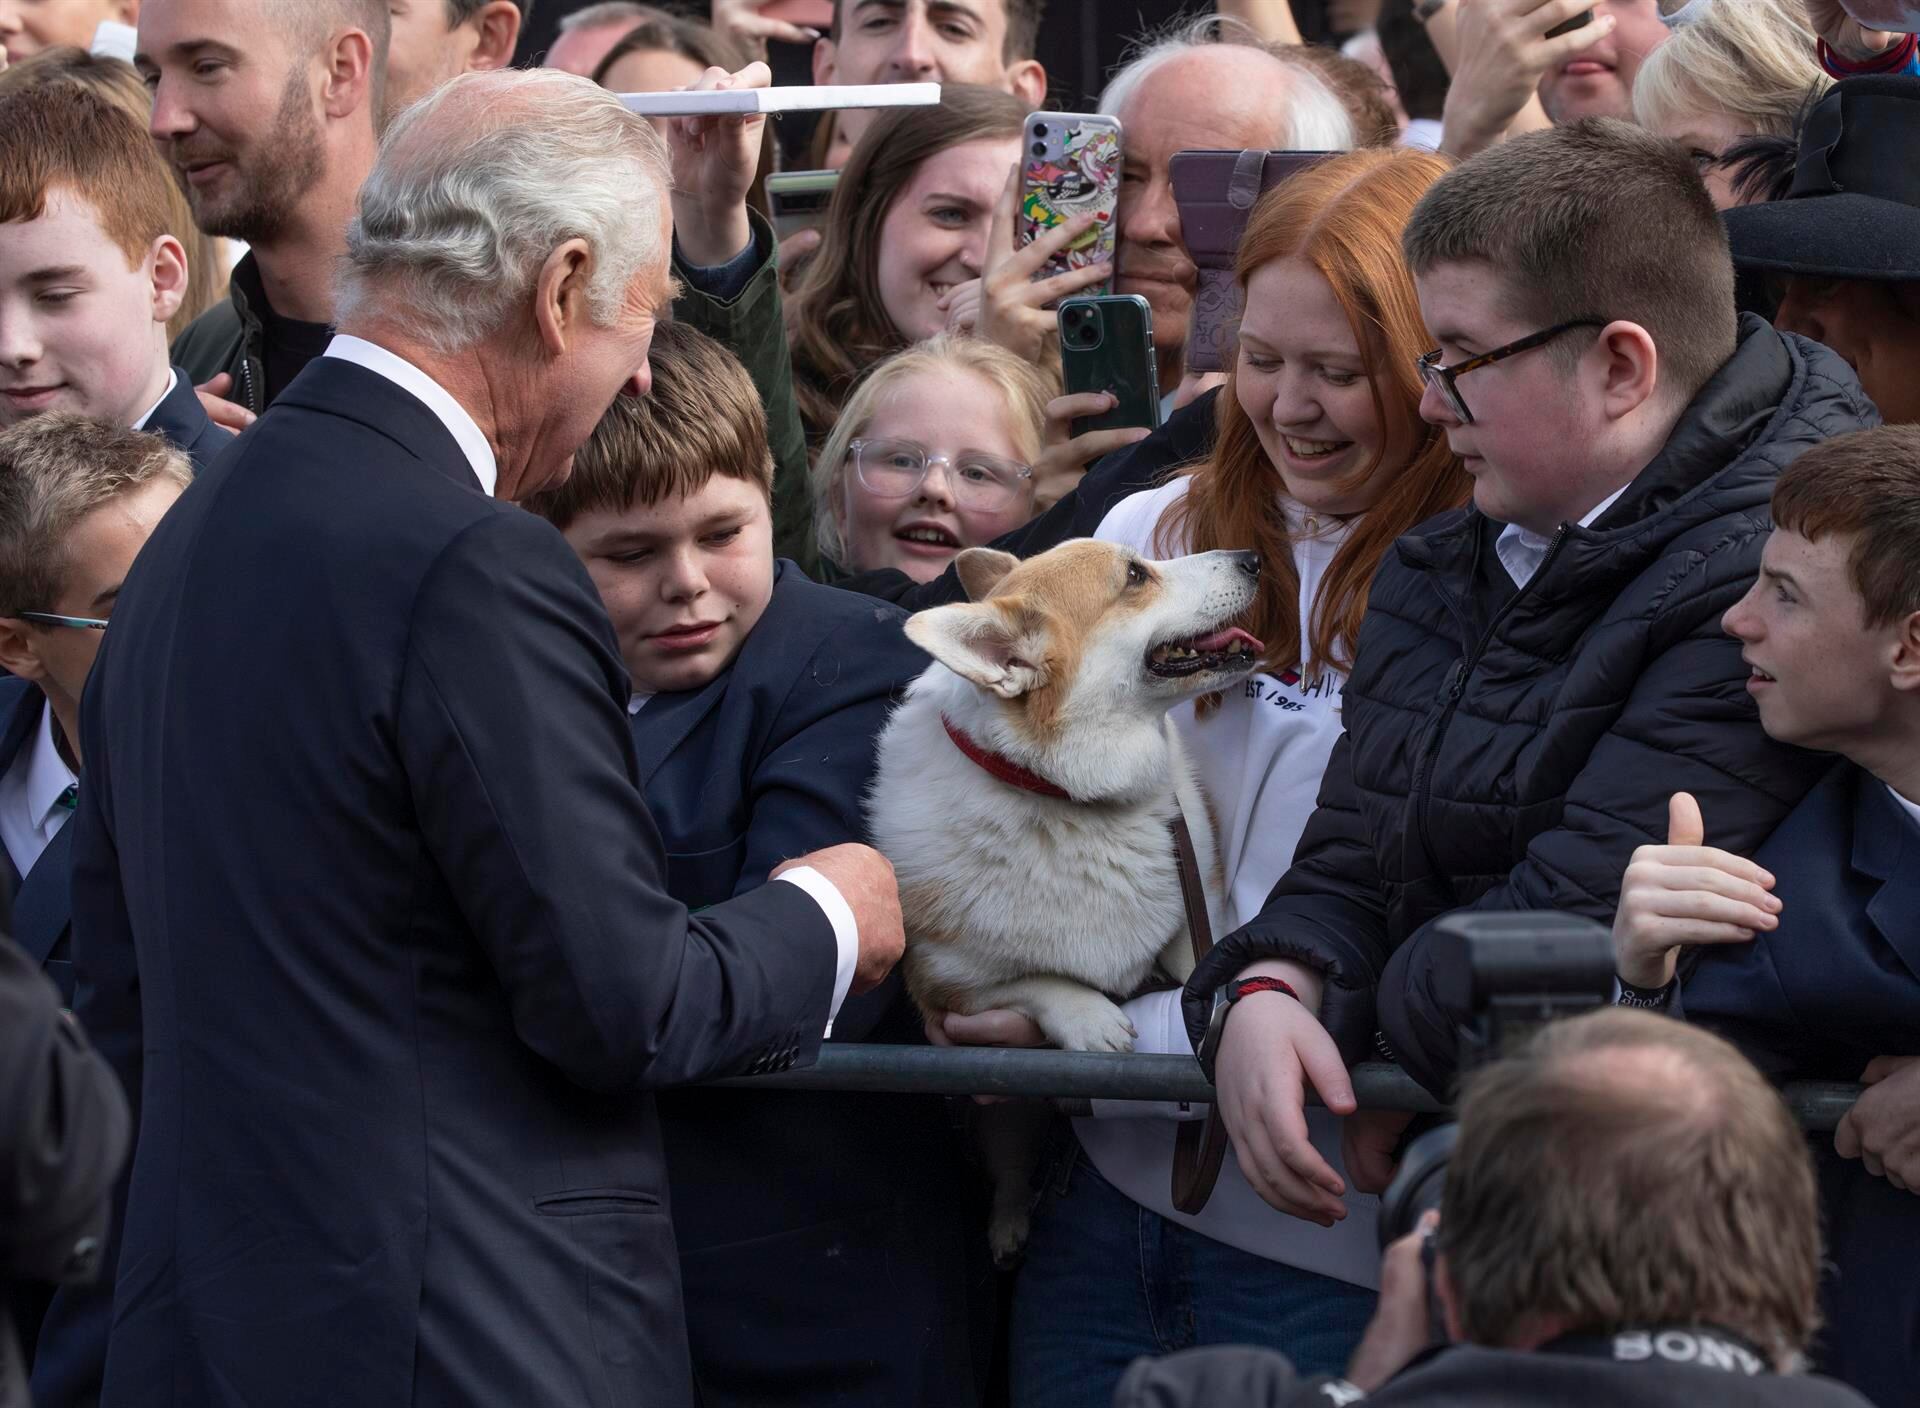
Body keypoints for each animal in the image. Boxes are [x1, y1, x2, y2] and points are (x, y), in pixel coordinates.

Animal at [867, 537, 1259, 1252]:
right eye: (1134, 575)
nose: (1252, 560)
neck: (1071, 799)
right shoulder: (949, 992)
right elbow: (1035, 983)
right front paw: (1091, 1019)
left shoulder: (1195, 908)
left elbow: (1194, 965)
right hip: (1006, 1111)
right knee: (1012, 1160)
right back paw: (1008, 1224)